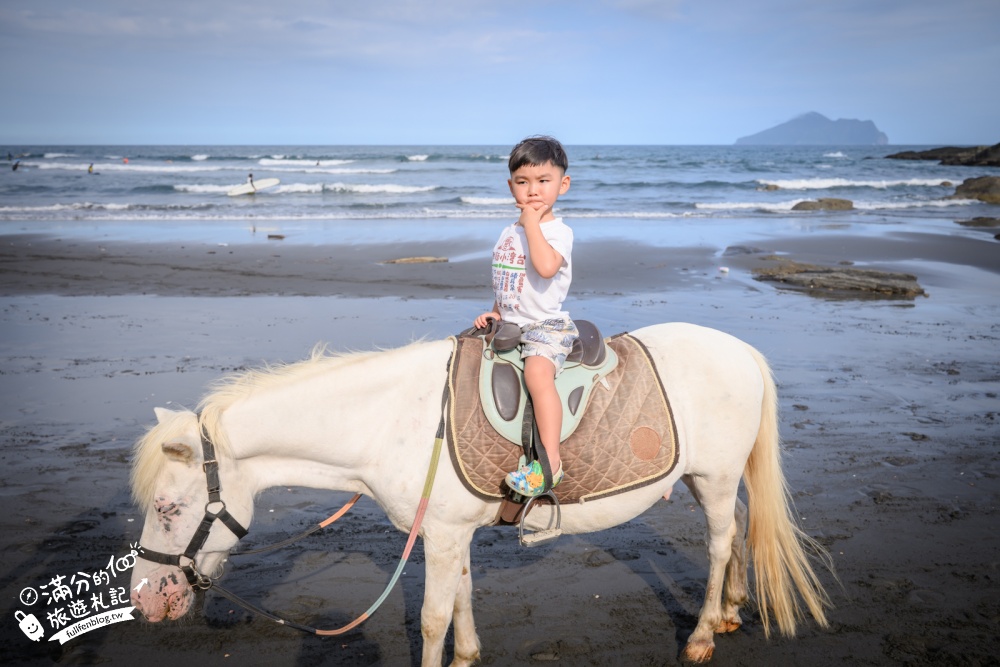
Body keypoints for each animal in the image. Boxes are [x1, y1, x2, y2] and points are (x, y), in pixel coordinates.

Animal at [129, 322, 832, 665]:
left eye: (168, 509)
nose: (144, 602)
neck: (390, 418)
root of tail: (742, 350)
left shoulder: (438, 532)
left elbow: (432, 617)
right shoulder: (452, 530)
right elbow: (462, 598)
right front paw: (468, 656)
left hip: (713, 478)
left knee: (717, 545)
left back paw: (703, 636)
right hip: (711, 478)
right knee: (735, 532)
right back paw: (732, 610)